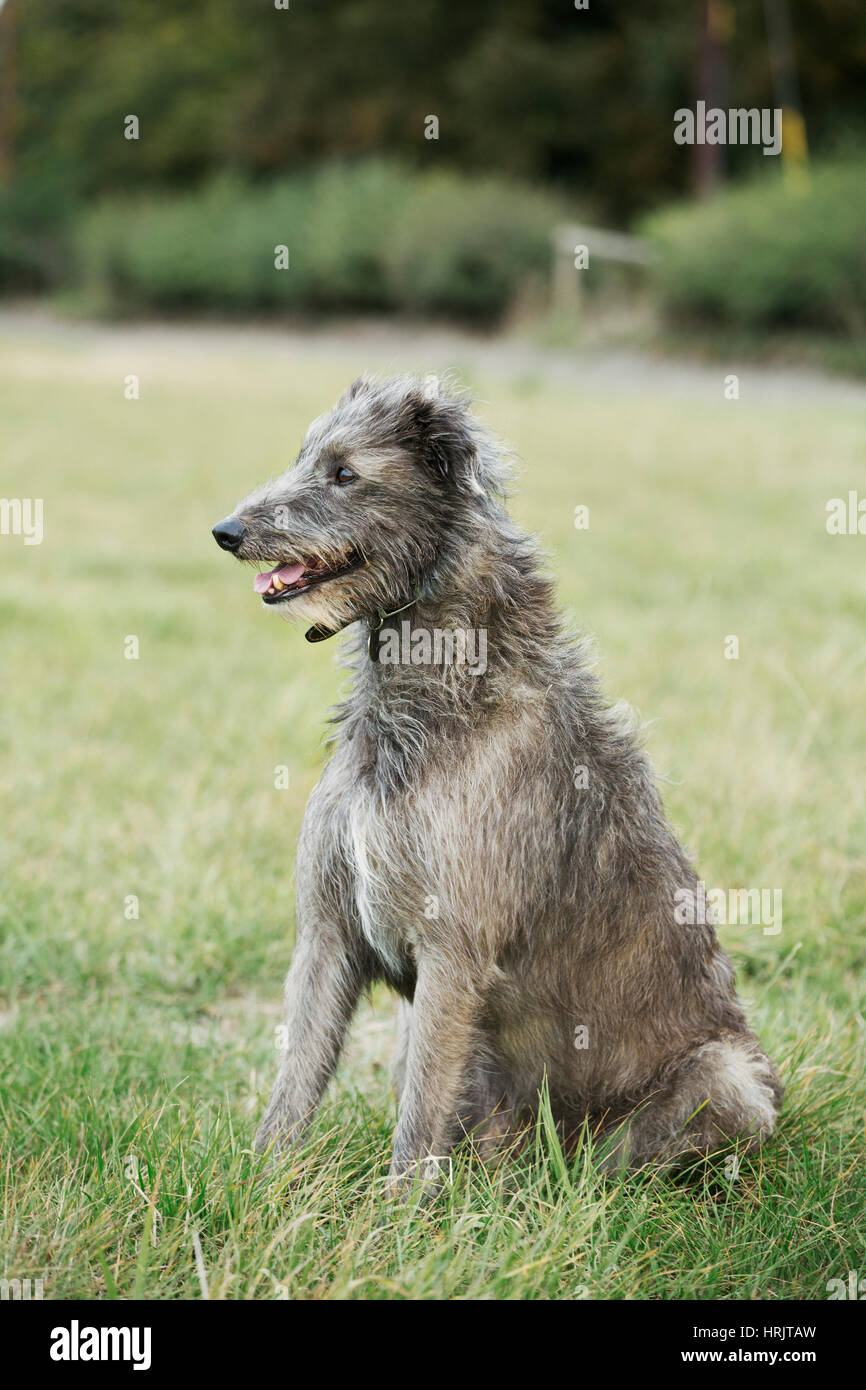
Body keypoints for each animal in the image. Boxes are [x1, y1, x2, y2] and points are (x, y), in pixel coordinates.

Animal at [214, 372, 783, 1195]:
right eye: (303, 458)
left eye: (344, 473)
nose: (225, 531)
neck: (434, 694)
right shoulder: (327, 932)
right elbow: (298, 1078)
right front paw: (258, 1185)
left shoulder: (455, 954)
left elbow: (418, 1121)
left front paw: (396, 1215)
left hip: (727, 1078)